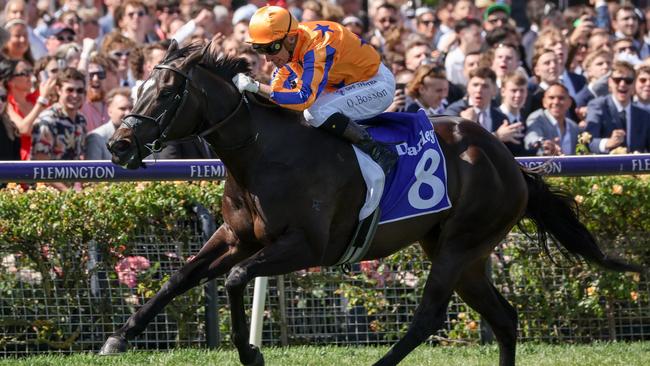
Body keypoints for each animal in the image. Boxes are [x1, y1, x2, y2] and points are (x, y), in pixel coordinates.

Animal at [100, 40, 636, 366]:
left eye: (166, 92)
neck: (261, 152)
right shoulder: (235, 236)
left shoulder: (306, 246)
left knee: (430, 316)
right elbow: (180, 277)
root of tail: (509, 160)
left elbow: (233, 278)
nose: (119, 146)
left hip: (460, 245)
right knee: (504, 317)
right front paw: (119, 336)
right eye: (139, 86)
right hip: (464, 252)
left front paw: (250, 352)